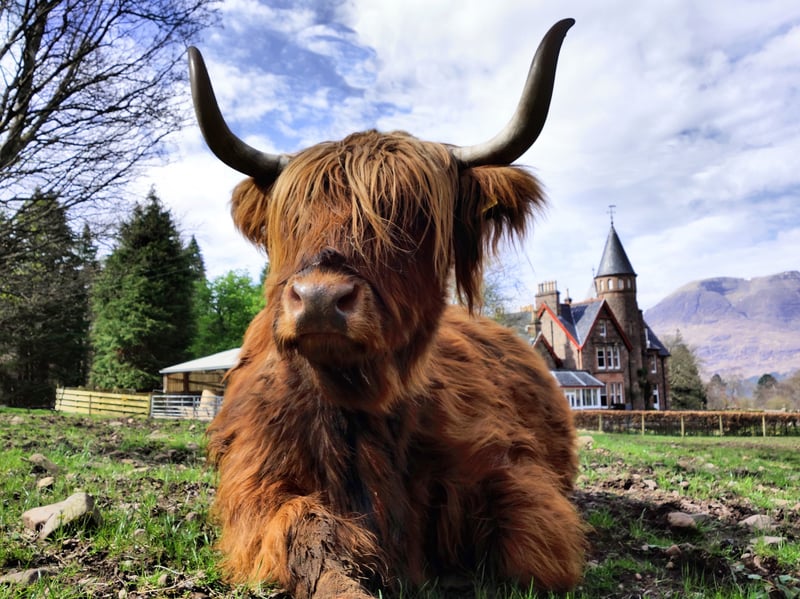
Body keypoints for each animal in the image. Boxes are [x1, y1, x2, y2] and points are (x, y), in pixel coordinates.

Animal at [188, 18, 584, 599]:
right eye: (293, 216)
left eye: (412, 215)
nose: (320, 299)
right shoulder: (260, 484)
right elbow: (309, 539)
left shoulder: (510, 471)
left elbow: (531, 553)